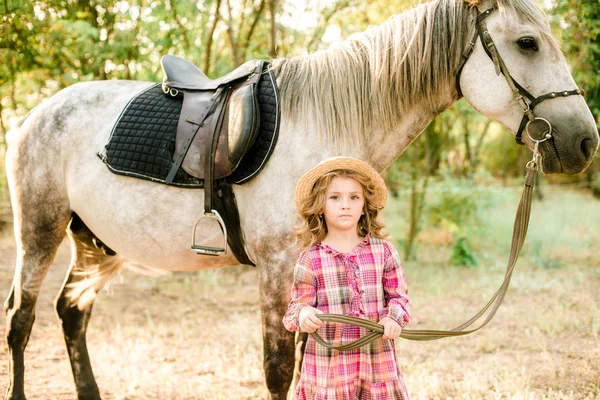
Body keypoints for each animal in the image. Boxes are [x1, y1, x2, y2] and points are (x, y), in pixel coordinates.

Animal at [3, 0, 596, 400]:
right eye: (527, 42)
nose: (585, 142)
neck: (324, 124)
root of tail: (37, 112)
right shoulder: (279, 268)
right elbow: (278, 370)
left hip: (96, 244)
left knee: (71, 314)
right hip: (41, 233)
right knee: (21, 321)